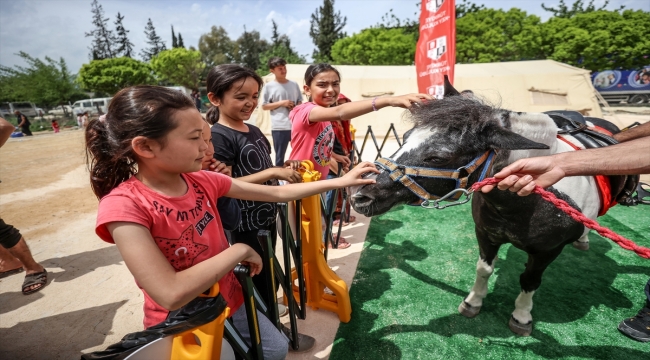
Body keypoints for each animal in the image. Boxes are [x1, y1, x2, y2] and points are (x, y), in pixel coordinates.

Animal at [346, 81, 604, 334]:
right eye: (406, 136)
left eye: (438, 157)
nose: (360, 195)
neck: (522, 206)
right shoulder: (485, 233)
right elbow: (483, 269)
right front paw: (473, 302)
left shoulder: (548, 251)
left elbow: (529, 281)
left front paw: (521, 316)